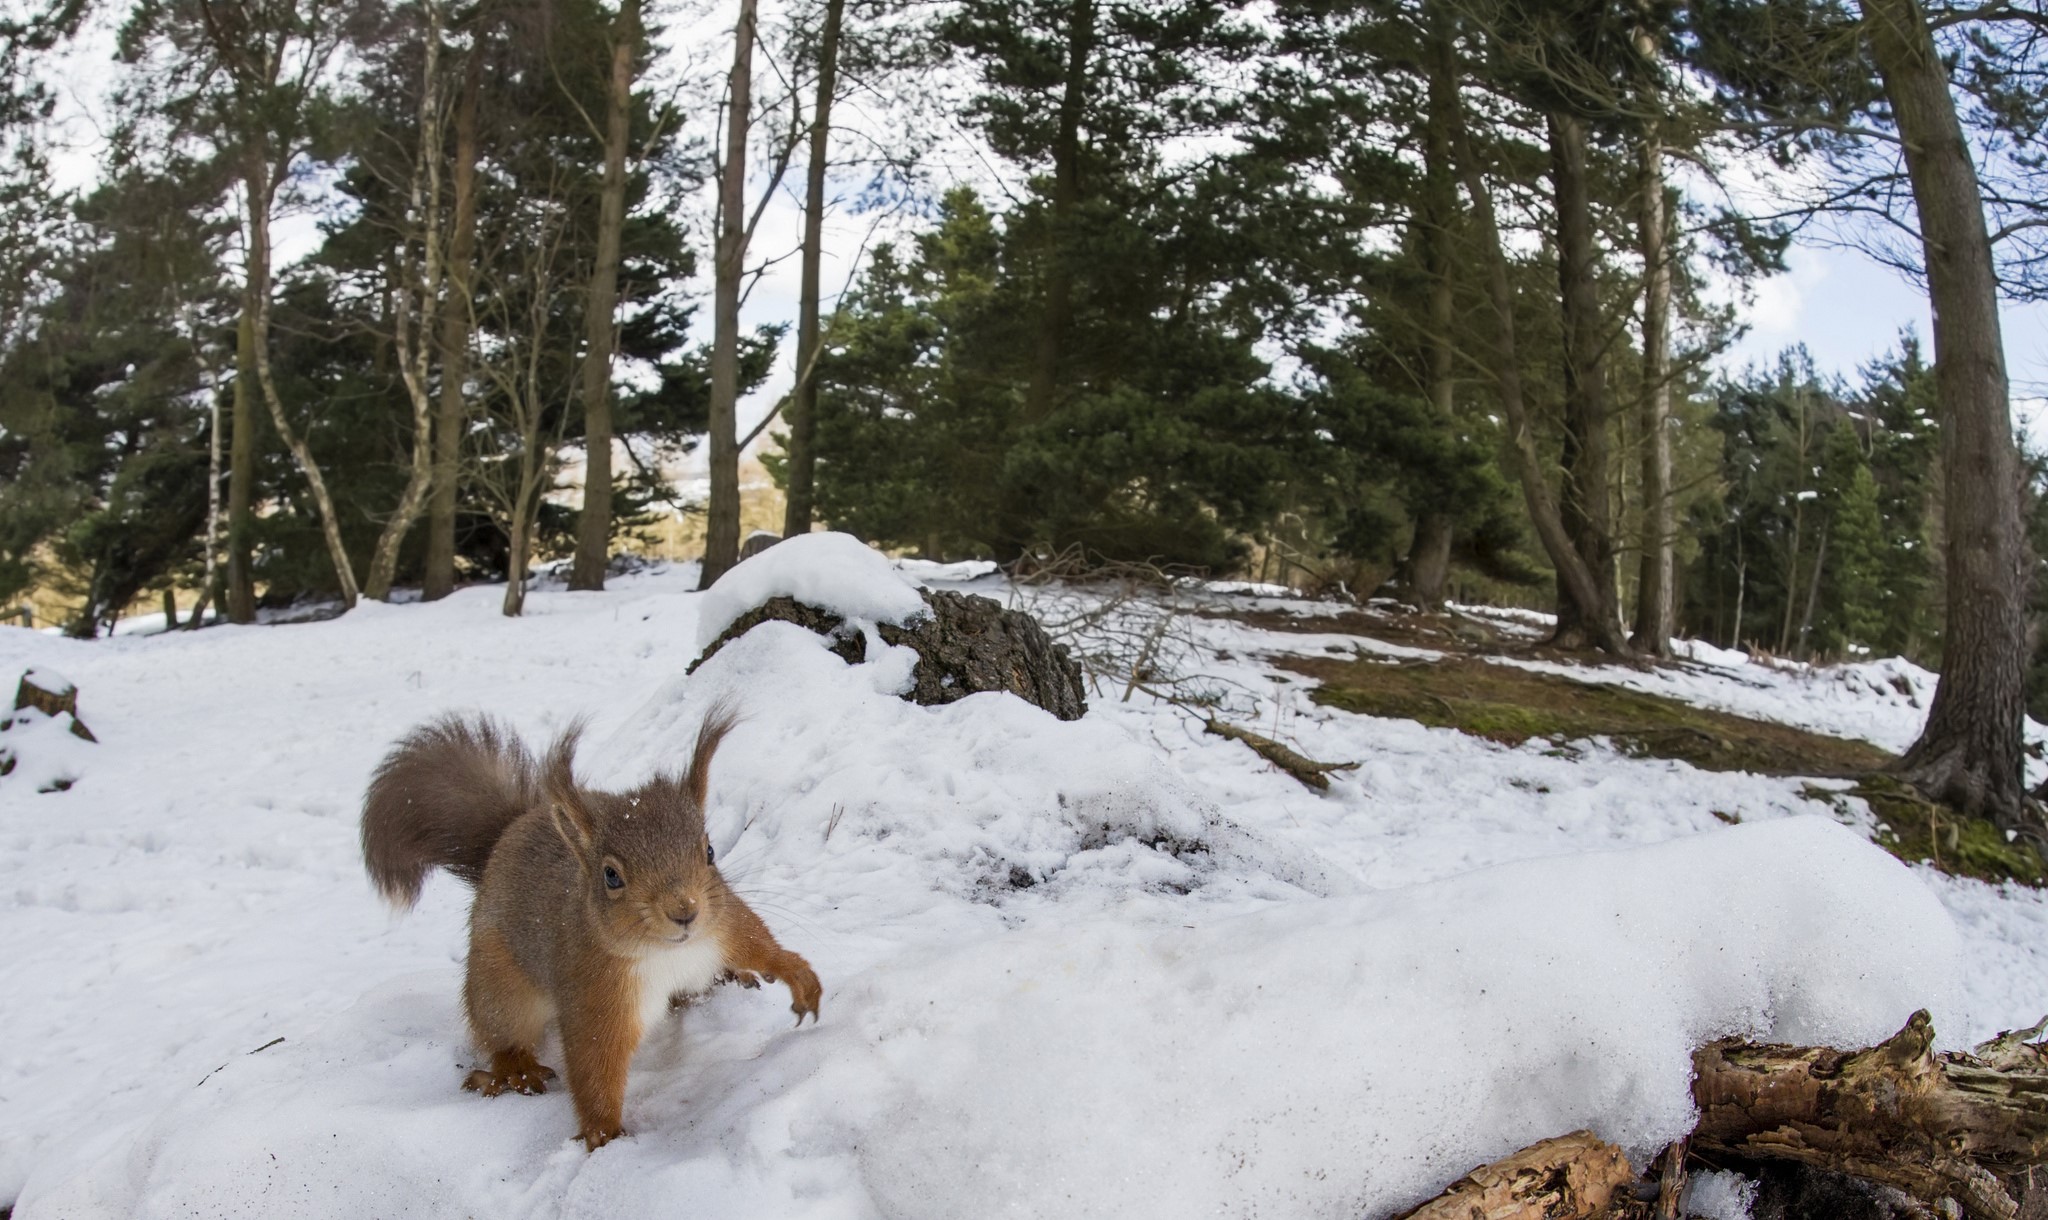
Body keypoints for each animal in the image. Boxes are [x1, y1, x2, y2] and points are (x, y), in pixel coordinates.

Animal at [360, 707, 820, 1150]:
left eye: (709, 851)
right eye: (611, 876)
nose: (685, 912)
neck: (668, 953)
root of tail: (504, 838)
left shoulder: (723, 925)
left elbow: (759, 944)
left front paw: (798, 976)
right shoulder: (594, 990)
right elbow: (593, 1062)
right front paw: (604, 1133)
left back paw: (725, 979)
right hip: (499, 983)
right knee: (500, 1031)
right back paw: (515, 1071)